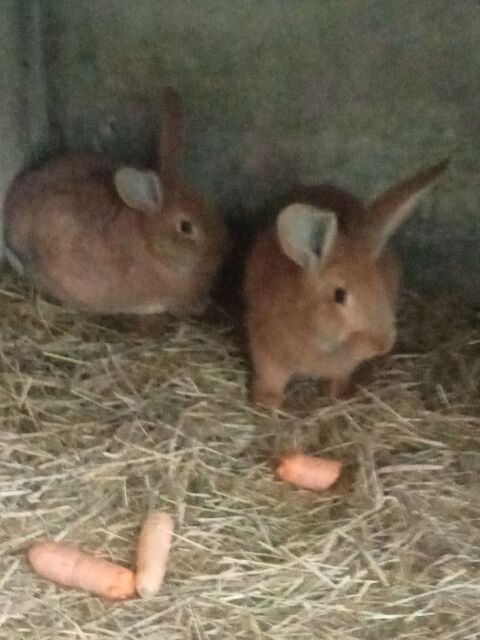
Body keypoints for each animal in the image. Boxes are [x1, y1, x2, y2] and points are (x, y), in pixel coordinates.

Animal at [244, 159, 449, 408]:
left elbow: (339, 377)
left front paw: (341, 395)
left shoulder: (343, 366)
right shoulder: (266, 351)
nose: (383, 344)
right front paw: (265, 404)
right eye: (340, 295)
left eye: (380, 284)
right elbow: (271, 378)